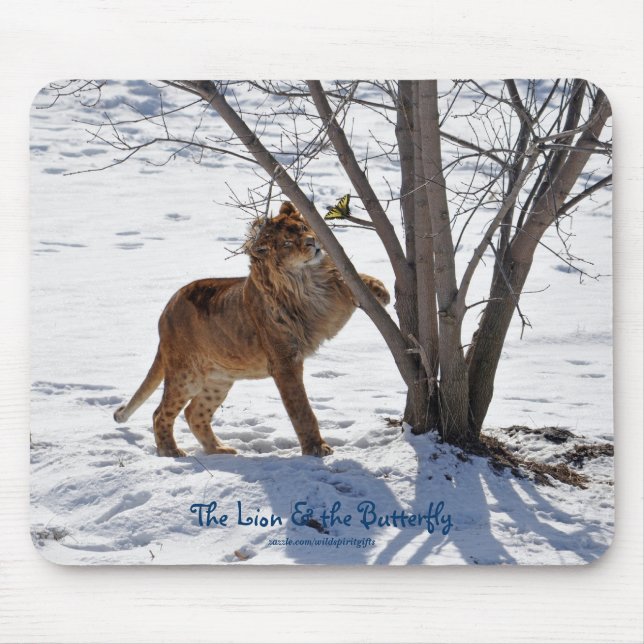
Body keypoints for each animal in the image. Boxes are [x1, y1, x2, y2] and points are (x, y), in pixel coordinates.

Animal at [114, 201, 390, 457]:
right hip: (186, 374)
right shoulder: (284, 362)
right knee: (160, 412)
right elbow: (300, 409)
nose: (313, 242)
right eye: (287, 243)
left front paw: (380, 291)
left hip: (219, 379)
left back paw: (219, 449)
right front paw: (316, 448)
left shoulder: (329, 304)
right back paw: (170, 452)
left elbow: (349, 280)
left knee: (194, 412)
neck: (307, 280)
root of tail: (166, 310)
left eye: (303, 228)